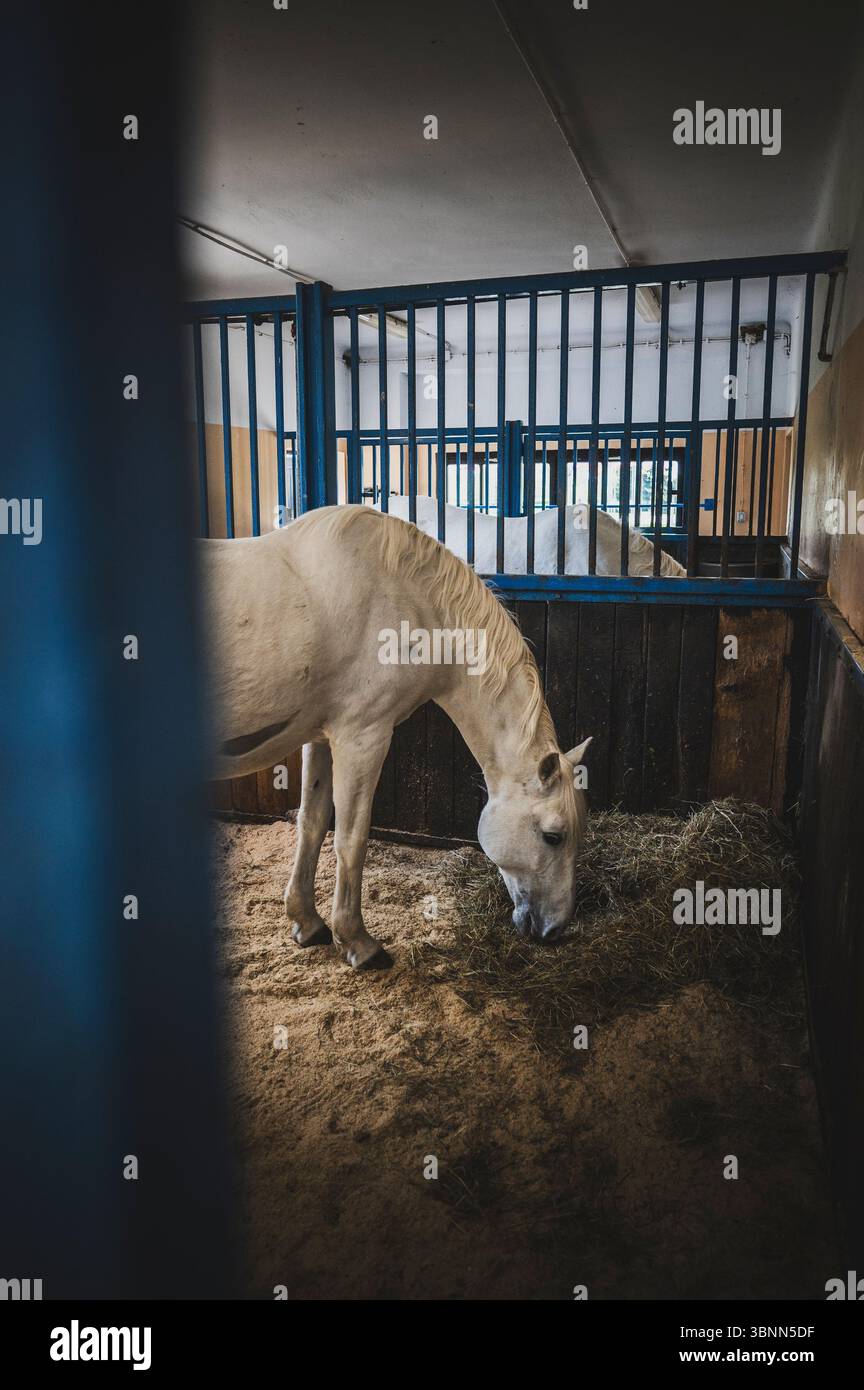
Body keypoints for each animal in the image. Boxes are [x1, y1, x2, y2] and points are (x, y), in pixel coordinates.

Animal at [201, 505, 592, 970]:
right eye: (554, 836)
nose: (555, 930)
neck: (403, 595)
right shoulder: (362, 737)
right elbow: (351, 840)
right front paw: (358, 942)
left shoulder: (321, 737)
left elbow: (312, 824)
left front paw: (308, 923)